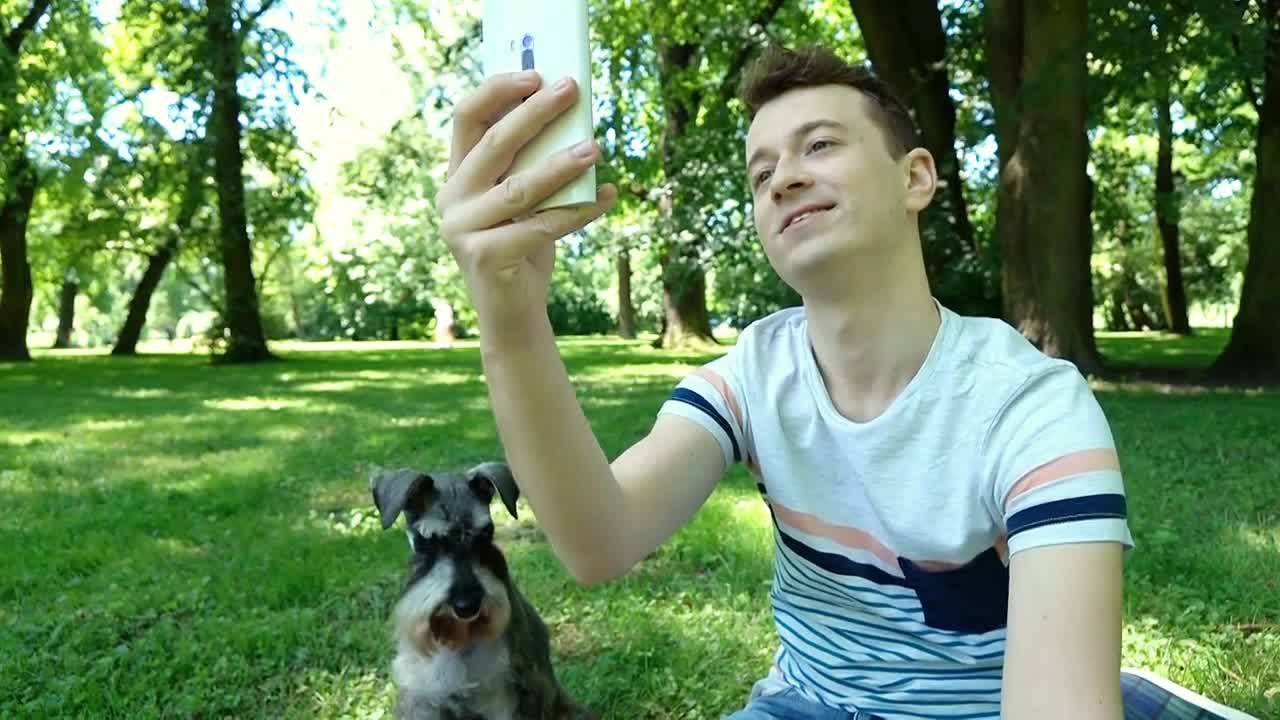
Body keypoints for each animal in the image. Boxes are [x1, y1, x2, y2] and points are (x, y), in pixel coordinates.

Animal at [371, 458, 599, 717]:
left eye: (485, 535)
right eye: (428, 542)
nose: (466, 606)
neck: (459, 640)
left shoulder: (505, 697)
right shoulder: (423, 698)